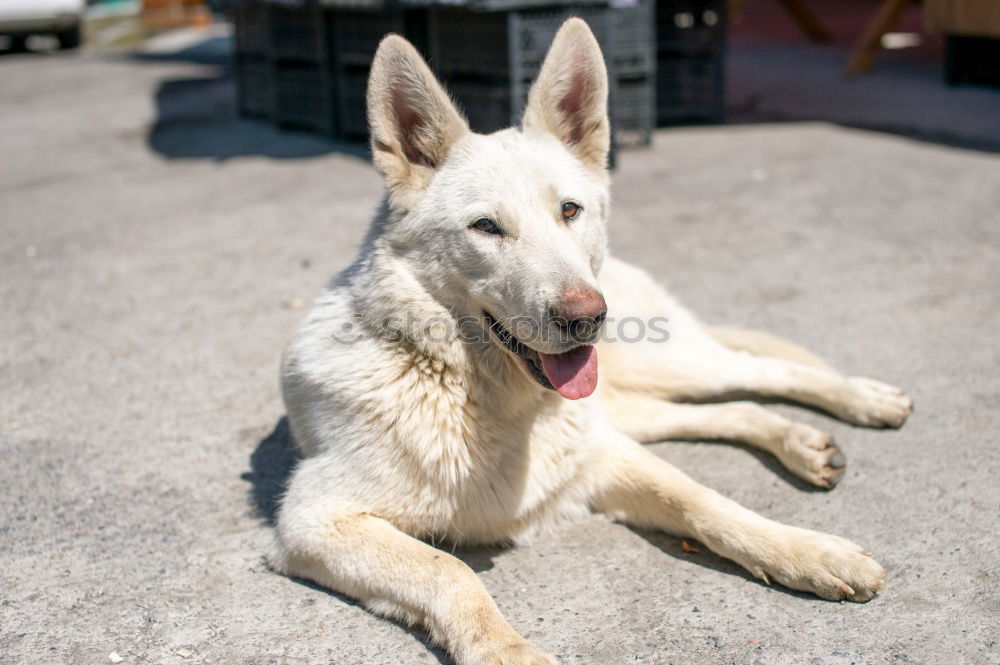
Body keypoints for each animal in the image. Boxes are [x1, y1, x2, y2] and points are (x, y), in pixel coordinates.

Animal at [270, 20, 912, 664]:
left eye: (569, 210)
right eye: (485, 227)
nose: (586, 317)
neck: (482, 399)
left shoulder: (605, 459)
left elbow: (702, 500)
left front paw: (806, 551)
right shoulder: (313, 521)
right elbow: (448, 570)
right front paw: (506, 651)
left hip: (667, 366)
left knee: (761, 372)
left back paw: (862, 400)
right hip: (631, 404)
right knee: (733, 408)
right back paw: (803, 442)